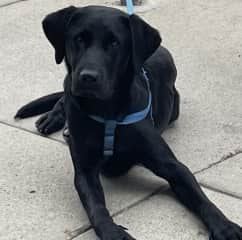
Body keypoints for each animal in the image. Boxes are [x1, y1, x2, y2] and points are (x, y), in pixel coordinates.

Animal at [15, 5, 242, 240]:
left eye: (115, 43)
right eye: (79, 39)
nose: (88, 77)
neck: (107, 112)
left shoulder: (173, 166)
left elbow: (202, 199)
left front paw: (224, 225)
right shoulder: (85, 171)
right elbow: (96, 208)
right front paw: (113, 232)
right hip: (70, 84)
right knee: (65, 95)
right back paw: (54, 117)